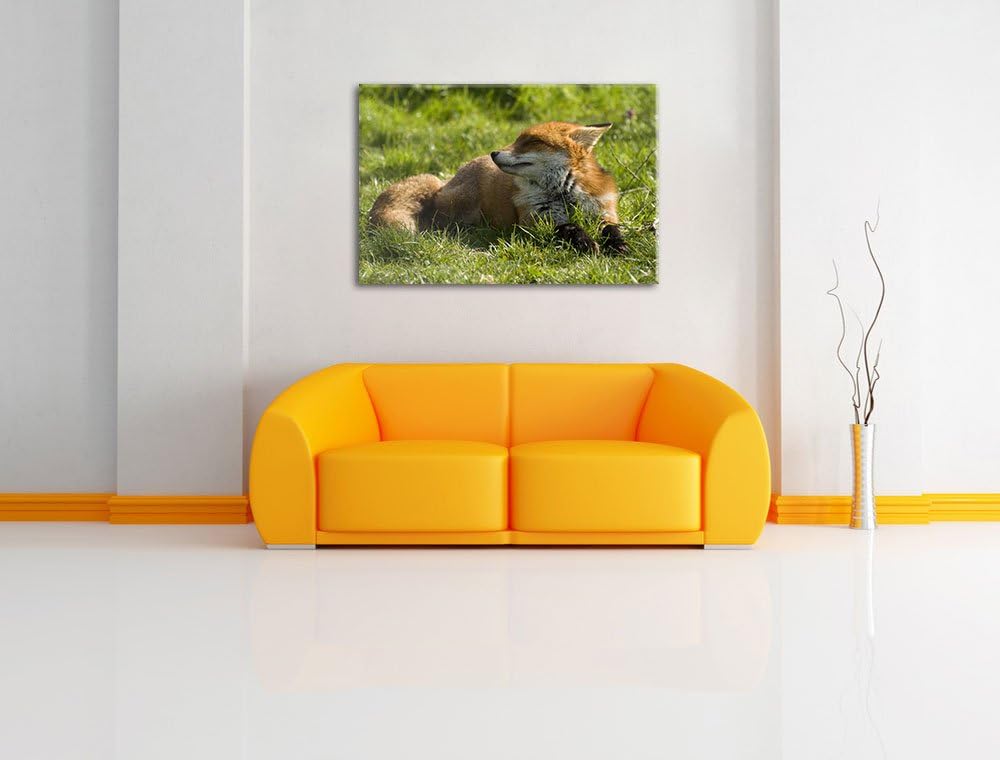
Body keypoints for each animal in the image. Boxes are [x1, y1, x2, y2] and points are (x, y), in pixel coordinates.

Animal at [368, 121, 628, 255]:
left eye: (531, 141)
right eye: (516, 139)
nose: (494, 153)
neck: (563, 194)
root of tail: (448, 180)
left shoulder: (603, 211)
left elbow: (612, 230)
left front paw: (619, 246)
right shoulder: (535, 221)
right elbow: (569, 228)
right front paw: (586, 243)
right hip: (460, 206)